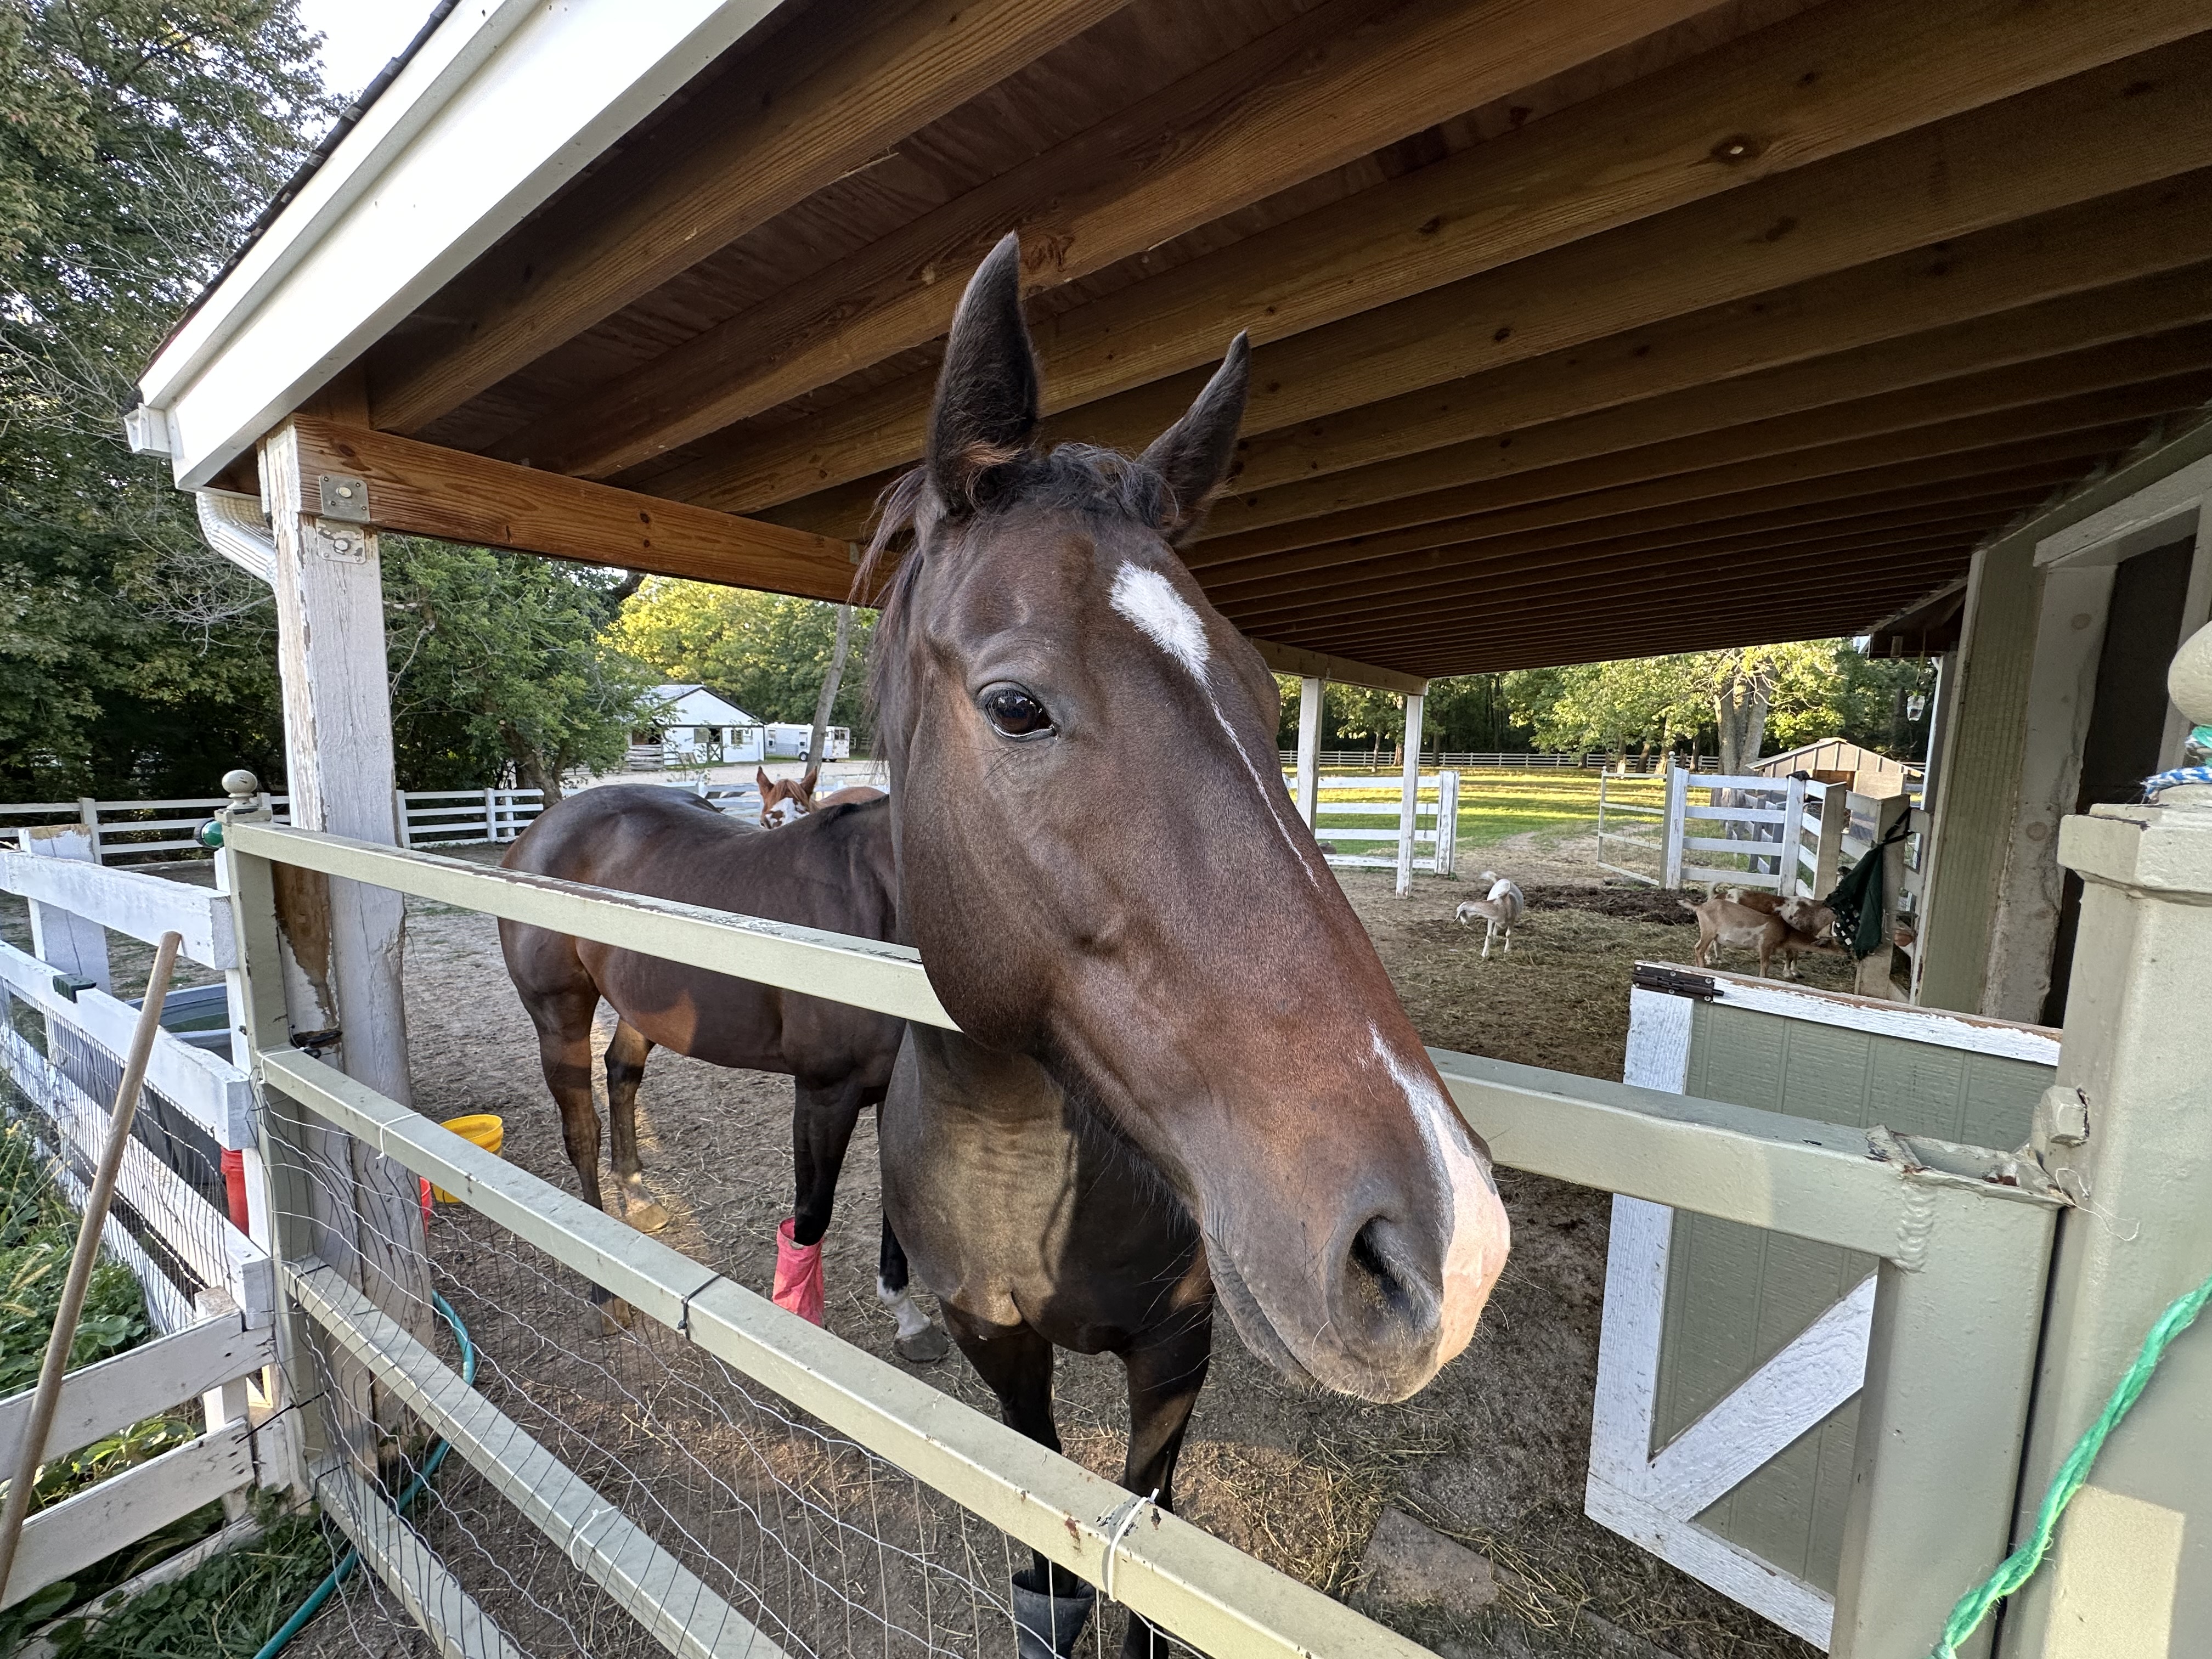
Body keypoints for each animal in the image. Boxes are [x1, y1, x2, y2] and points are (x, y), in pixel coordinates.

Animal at [497, 786, 947, 1359]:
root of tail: (538, 829)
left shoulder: (893, 1091)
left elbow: (896, 1202)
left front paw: (908, 1319)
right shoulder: (826, 1092)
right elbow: (811, 1217)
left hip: (642, 1005)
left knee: (622, 1076)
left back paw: (637, 1195)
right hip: (559, 1018)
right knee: (581, 1133)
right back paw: (603, 1294)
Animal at [863, 234, 1511, 1657]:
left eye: (1270, 700)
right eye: (1015, 705)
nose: (1446, 1247)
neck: (1022, 1155)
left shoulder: (1177, 1353)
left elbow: (1145, 1583)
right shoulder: (1002, 1357)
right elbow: (1050, 1588)